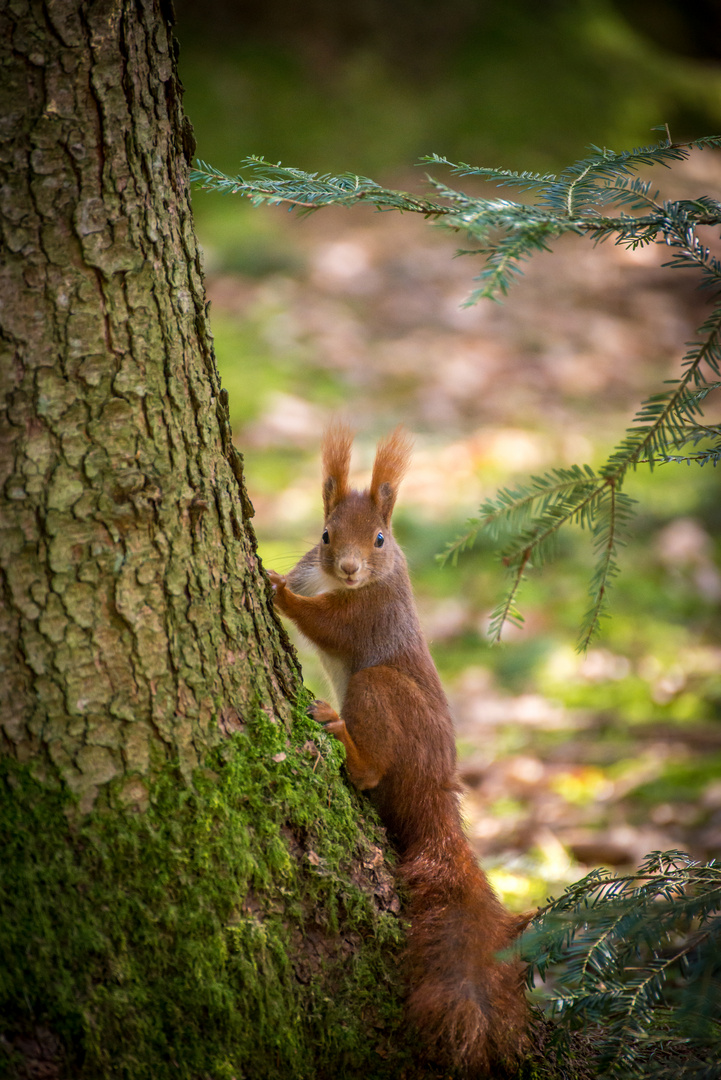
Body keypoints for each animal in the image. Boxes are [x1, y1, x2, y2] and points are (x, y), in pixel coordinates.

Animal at [267, 421, 526, 1071]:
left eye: (381, 539)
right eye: (326, 533)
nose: (350, 568)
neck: (342, 582)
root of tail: (436, 789)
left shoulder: (370, 612)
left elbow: (329, 625)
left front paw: (278, 593)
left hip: (379, 691)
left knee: (369, 771)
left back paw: (343, 736)